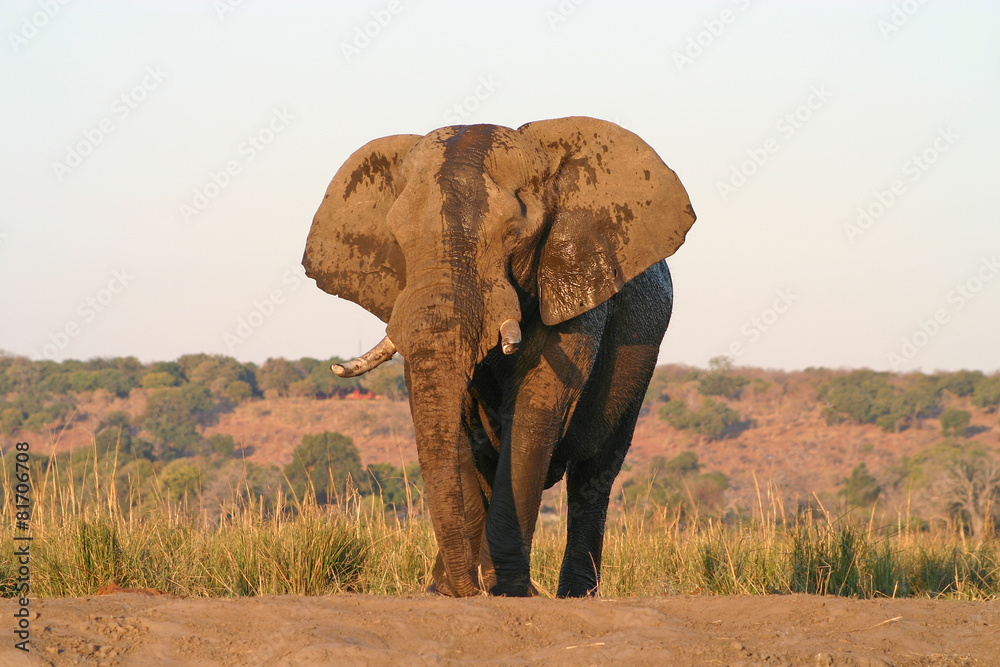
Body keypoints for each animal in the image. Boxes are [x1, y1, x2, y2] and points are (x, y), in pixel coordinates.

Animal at [302, 116, 696, 597]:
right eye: (398, 238)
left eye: (513, 236)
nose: (466, 589)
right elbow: (454, 424)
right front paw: (452, 592)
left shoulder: (572, 285)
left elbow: (532, 414)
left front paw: (507, 591)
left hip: (643, 358)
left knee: (594, 475)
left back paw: (573, 594)